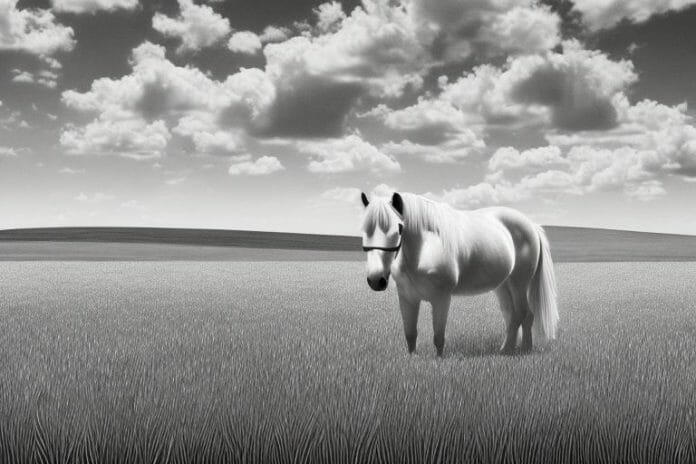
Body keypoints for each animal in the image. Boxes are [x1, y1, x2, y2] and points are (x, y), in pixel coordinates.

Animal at [360, 191, 558, 356]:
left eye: (398, 229)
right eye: (364, 230)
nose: (376, 280)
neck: (423, 250)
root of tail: (531, 225)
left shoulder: (441, 298)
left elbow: (438, 335)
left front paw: (439, 360)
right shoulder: (407, 298)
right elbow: (410, 333)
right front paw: (411, 358)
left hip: (519, 283)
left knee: (522, 313)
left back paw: (516, 350)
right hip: (504, 285)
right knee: (515, 315)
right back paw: (515, 349)